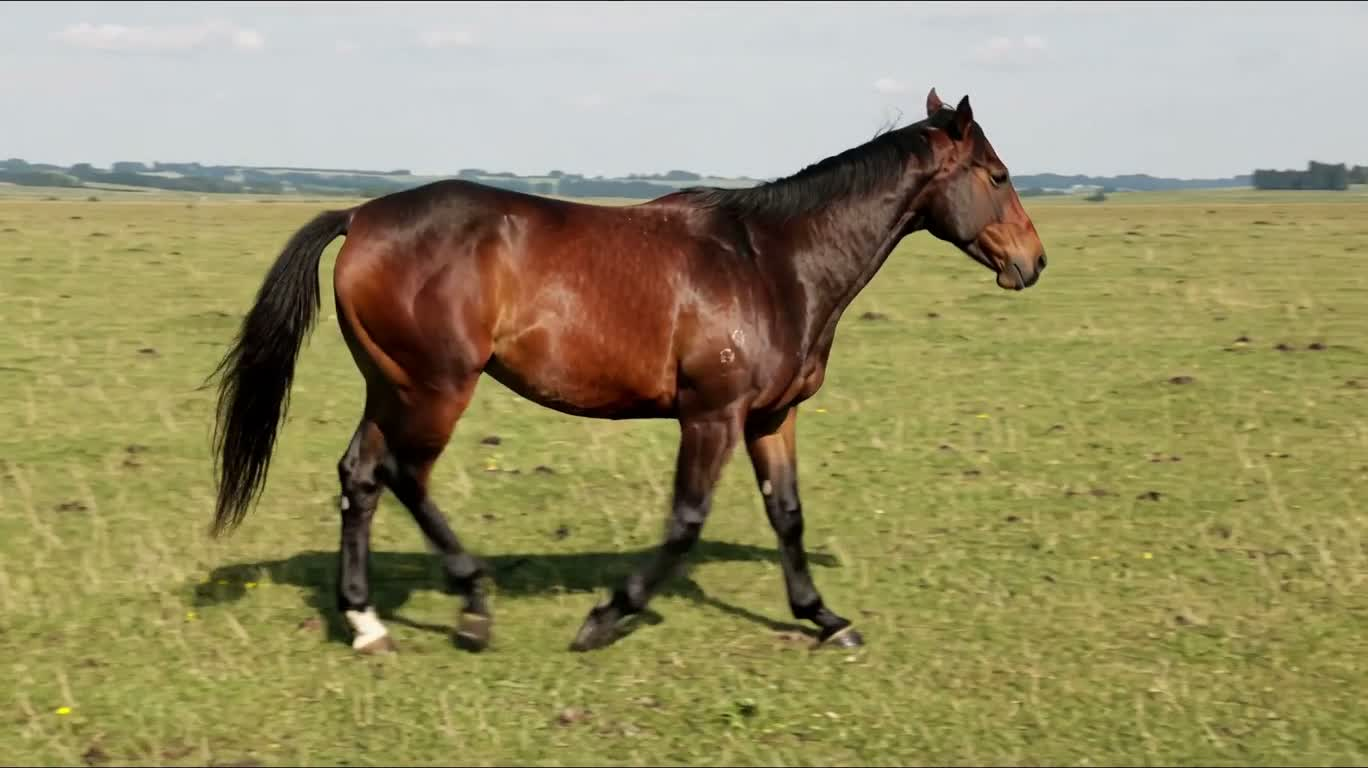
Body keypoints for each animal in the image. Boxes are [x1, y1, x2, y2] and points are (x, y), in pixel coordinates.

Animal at [207, 88, 1046, 655]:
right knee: (406, 476)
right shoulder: (712, 415)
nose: (1034, 263)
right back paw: (473, 605)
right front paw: (606, 616)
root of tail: (360, 217)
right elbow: (685, 521)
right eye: (998, 175)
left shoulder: (772, 416)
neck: (774, 263)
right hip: (436, 387)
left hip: (392, 385)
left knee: (361, 476)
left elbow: (788, 515)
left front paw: (825, 618)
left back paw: (365, 621)